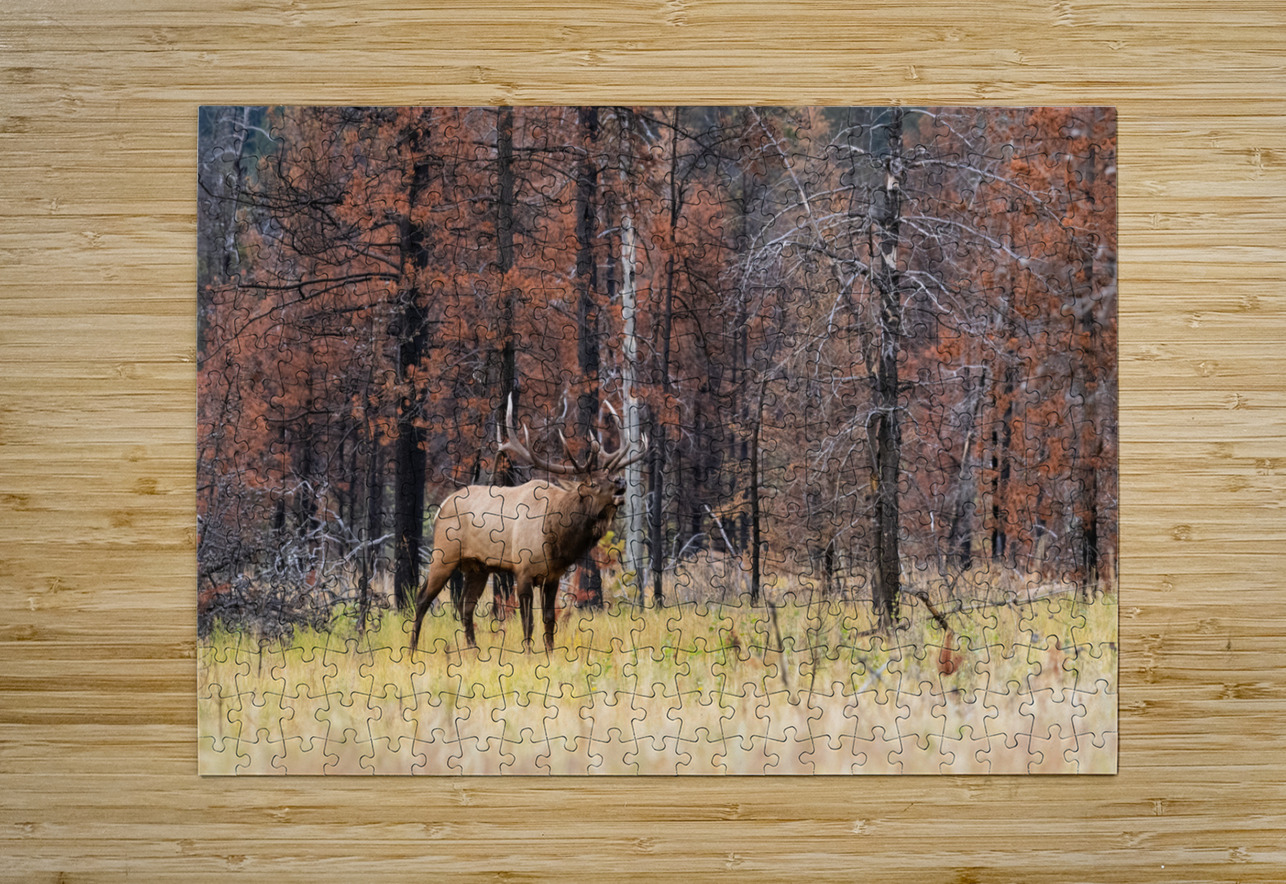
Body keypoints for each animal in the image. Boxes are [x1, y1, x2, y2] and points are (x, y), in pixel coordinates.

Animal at [409, 396, 645, 655]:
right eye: (592, 483)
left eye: (611, 474)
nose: (621, 482)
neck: (557, 537)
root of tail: (440, 508)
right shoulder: (523, 570)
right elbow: (527, 621)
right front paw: (529, 654)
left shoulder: (553, 576)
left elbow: (549, 620)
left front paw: (550, 653)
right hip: (444, 554)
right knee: (422, 598)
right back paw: (412, 649)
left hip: (477, 567)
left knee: (465, 606)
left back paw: (473, 649)